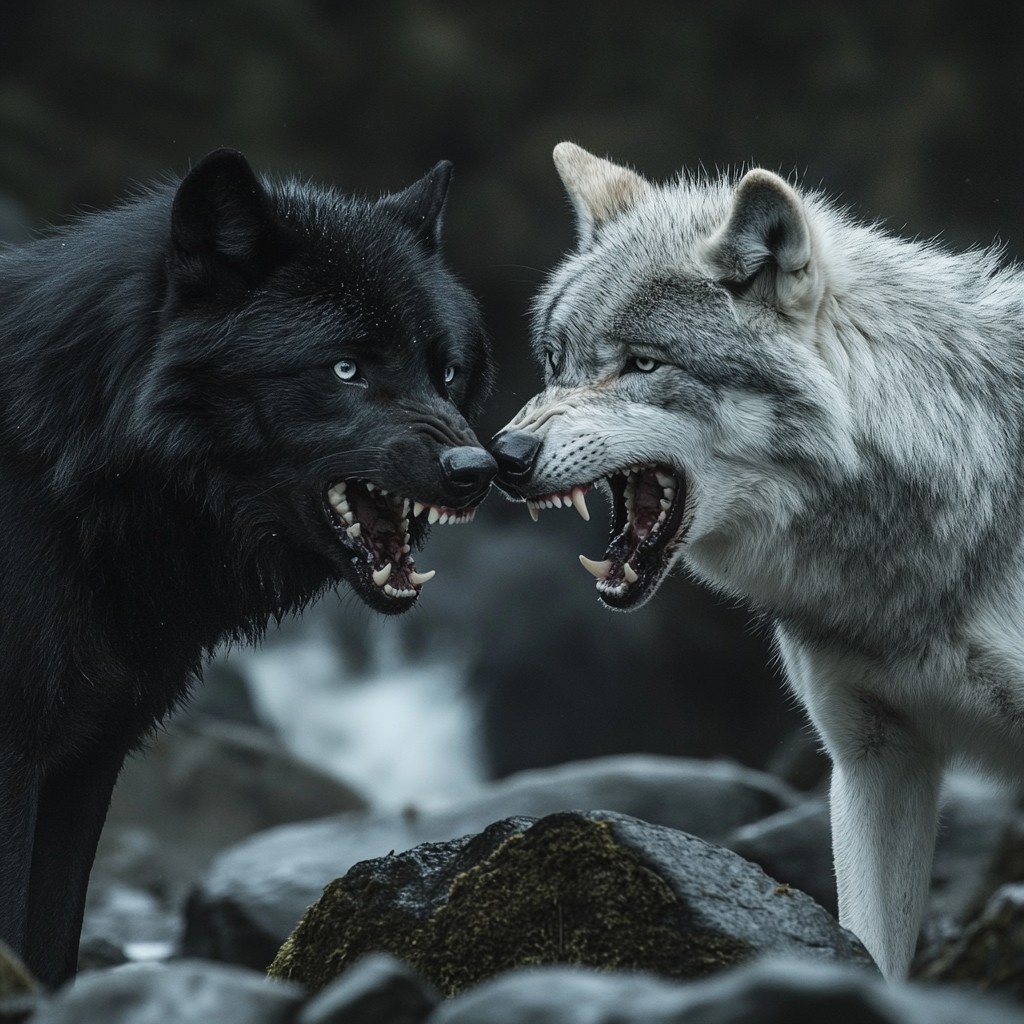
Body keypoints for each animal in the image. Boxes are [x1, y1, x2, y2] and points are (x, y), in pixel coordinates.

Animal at [0, 149, 496, 986]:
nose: (479, 470)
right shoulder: (20, 753)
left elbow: (48, 947)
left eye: (448, 371)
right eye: (346, 369)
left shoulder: (85, 760)